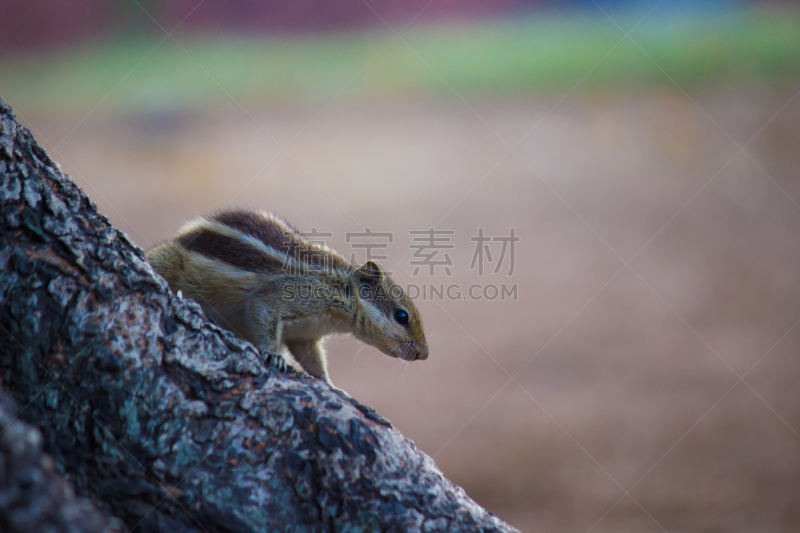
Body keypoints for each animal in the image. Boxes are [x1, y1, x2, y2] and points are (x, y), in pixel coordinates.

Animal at [146, 206, 428, 384]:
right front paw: (274, 355)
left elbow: (312, 360)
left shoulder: (305, 336)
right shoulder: (291, 294)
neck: (340, 291)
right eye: (402, 316)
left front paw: (329, 383)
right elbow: (264, 309)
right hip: (169, 258)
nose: (423, 355)